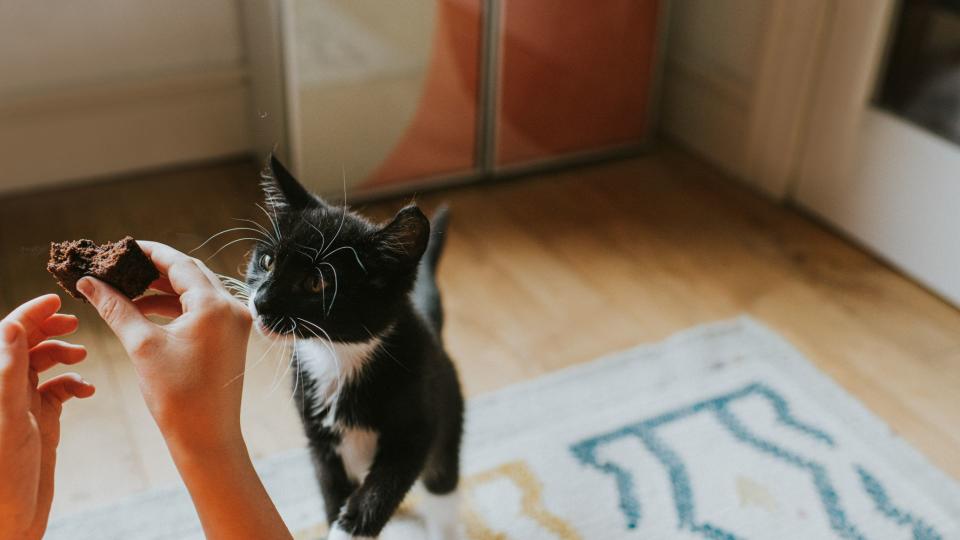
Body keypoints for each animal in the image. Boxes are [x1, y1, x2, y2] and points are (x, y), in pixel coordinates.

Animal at [242, 154, 464, 536]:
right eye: (267, 262)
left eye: (315, 283)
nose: (261, 301)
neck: (337, 355)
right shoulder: (319, 439)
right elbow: (332, 492)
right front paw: (335, 520)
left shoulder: (417, 428)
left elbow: (381, 489)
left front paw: (347, 530)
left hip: (448, 418)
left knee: (442, 487)